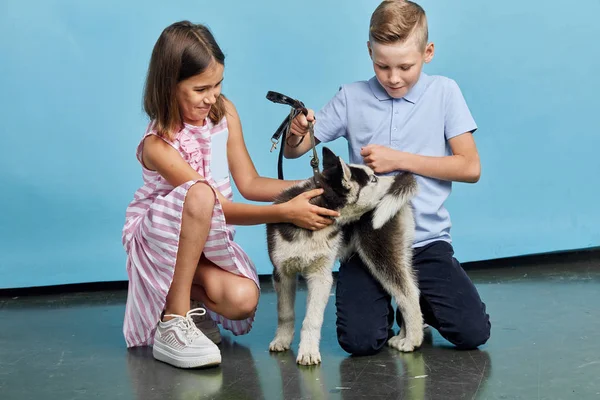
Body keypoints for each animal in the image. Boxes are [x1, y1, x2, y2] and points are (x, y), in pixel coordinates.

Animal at [264, 148, 424, 366]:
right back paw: (403, 337)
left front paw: (308, 352)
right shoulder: (282, 272)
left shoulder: (321, 276)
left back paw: (412, 340)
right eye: (373, 179)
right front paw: (282, 340)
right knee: (405, 290)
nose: (396, 179)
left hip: (380, 253)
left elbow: (312, 319)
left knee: (408, 294)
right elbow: (285, 313)